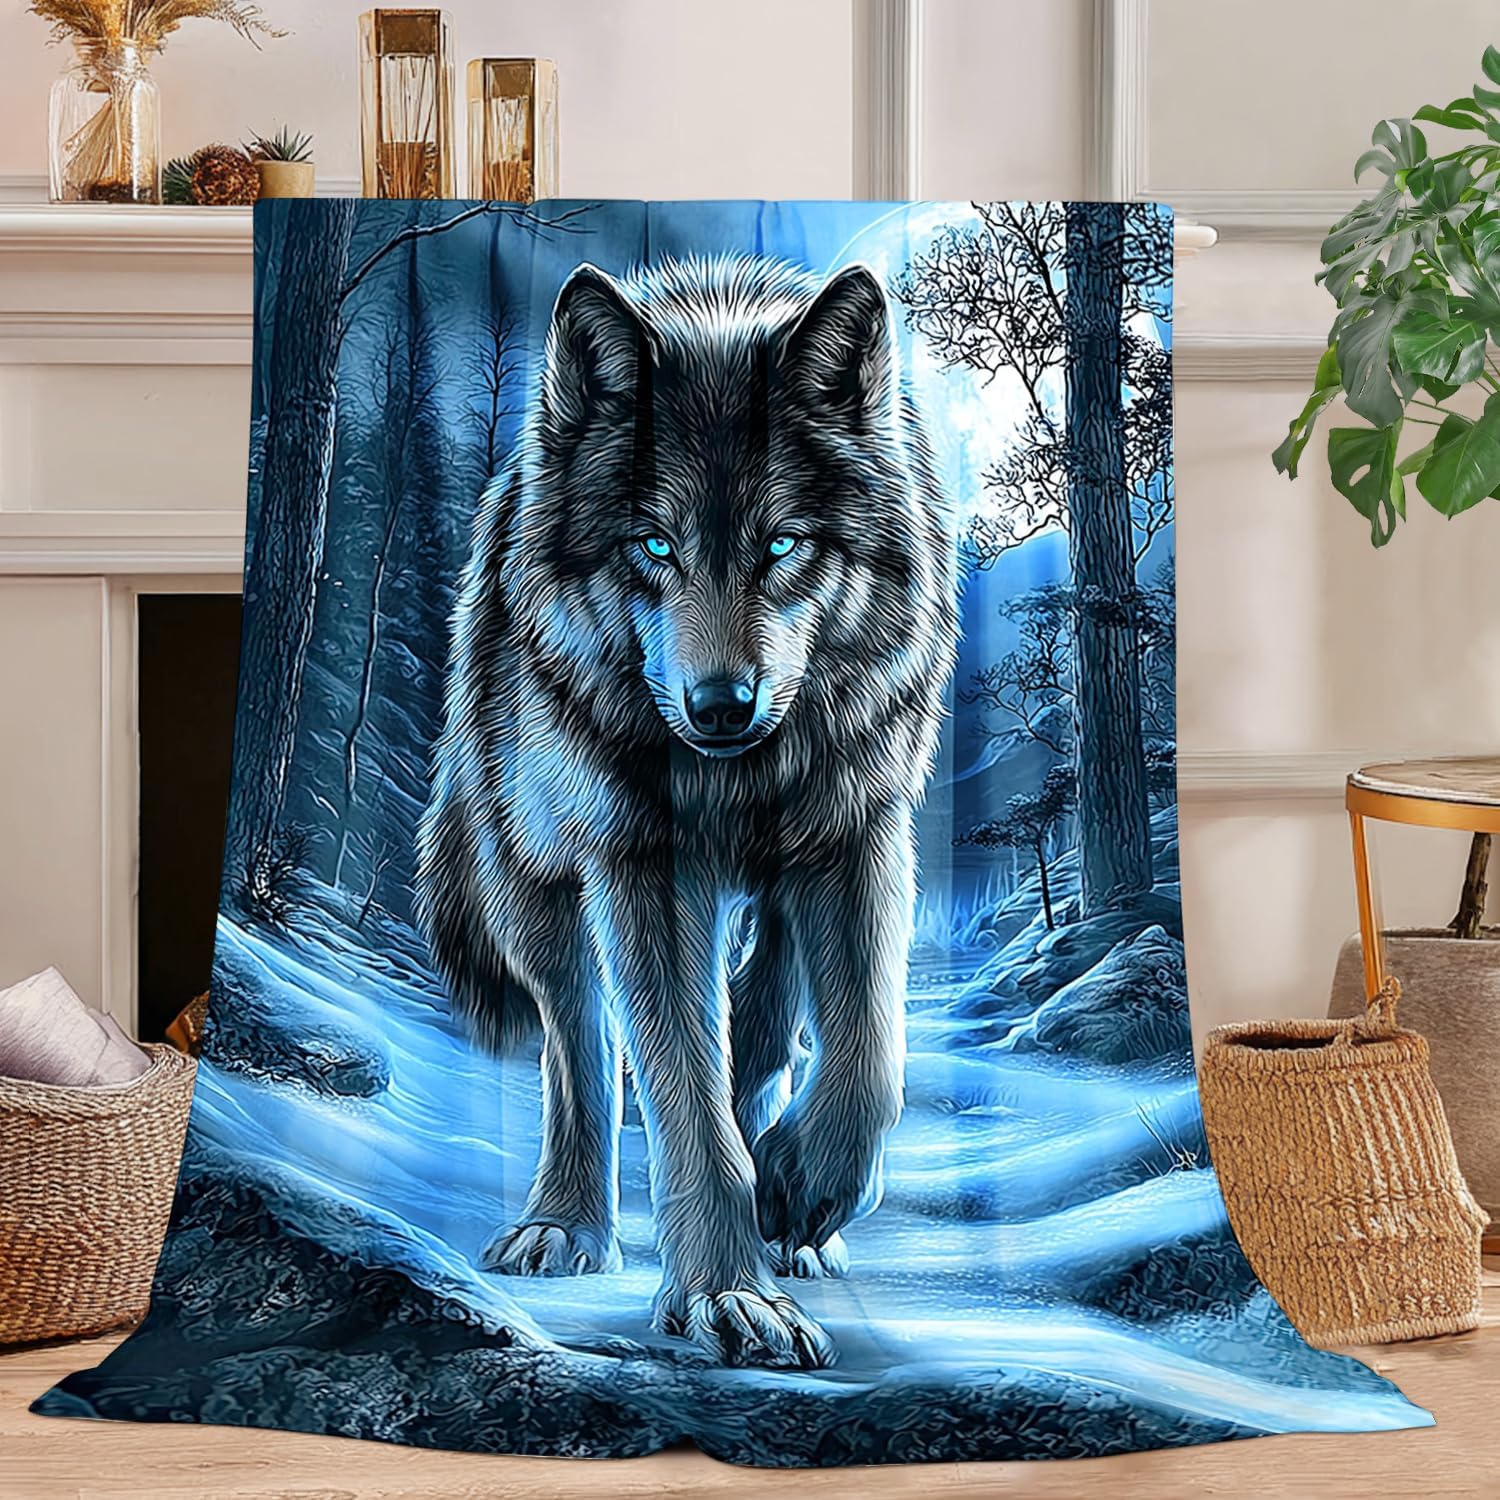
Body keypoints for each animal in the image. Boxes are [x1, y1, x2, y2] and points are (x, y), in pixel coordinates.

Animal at [416, 254, 958, 1370]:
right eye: (653, 545)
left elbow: (869, 1048)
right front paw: (727, 1293)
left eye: (783, 544)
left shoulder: (864, 828)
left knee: (773, 1011)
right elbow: (679, 1093)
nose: (719, 707)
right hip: (536, 882)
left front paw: (805, 1187)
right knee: (581, 1049)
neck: (741, 777)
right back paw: (566, 1226)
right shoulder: (644, 868)